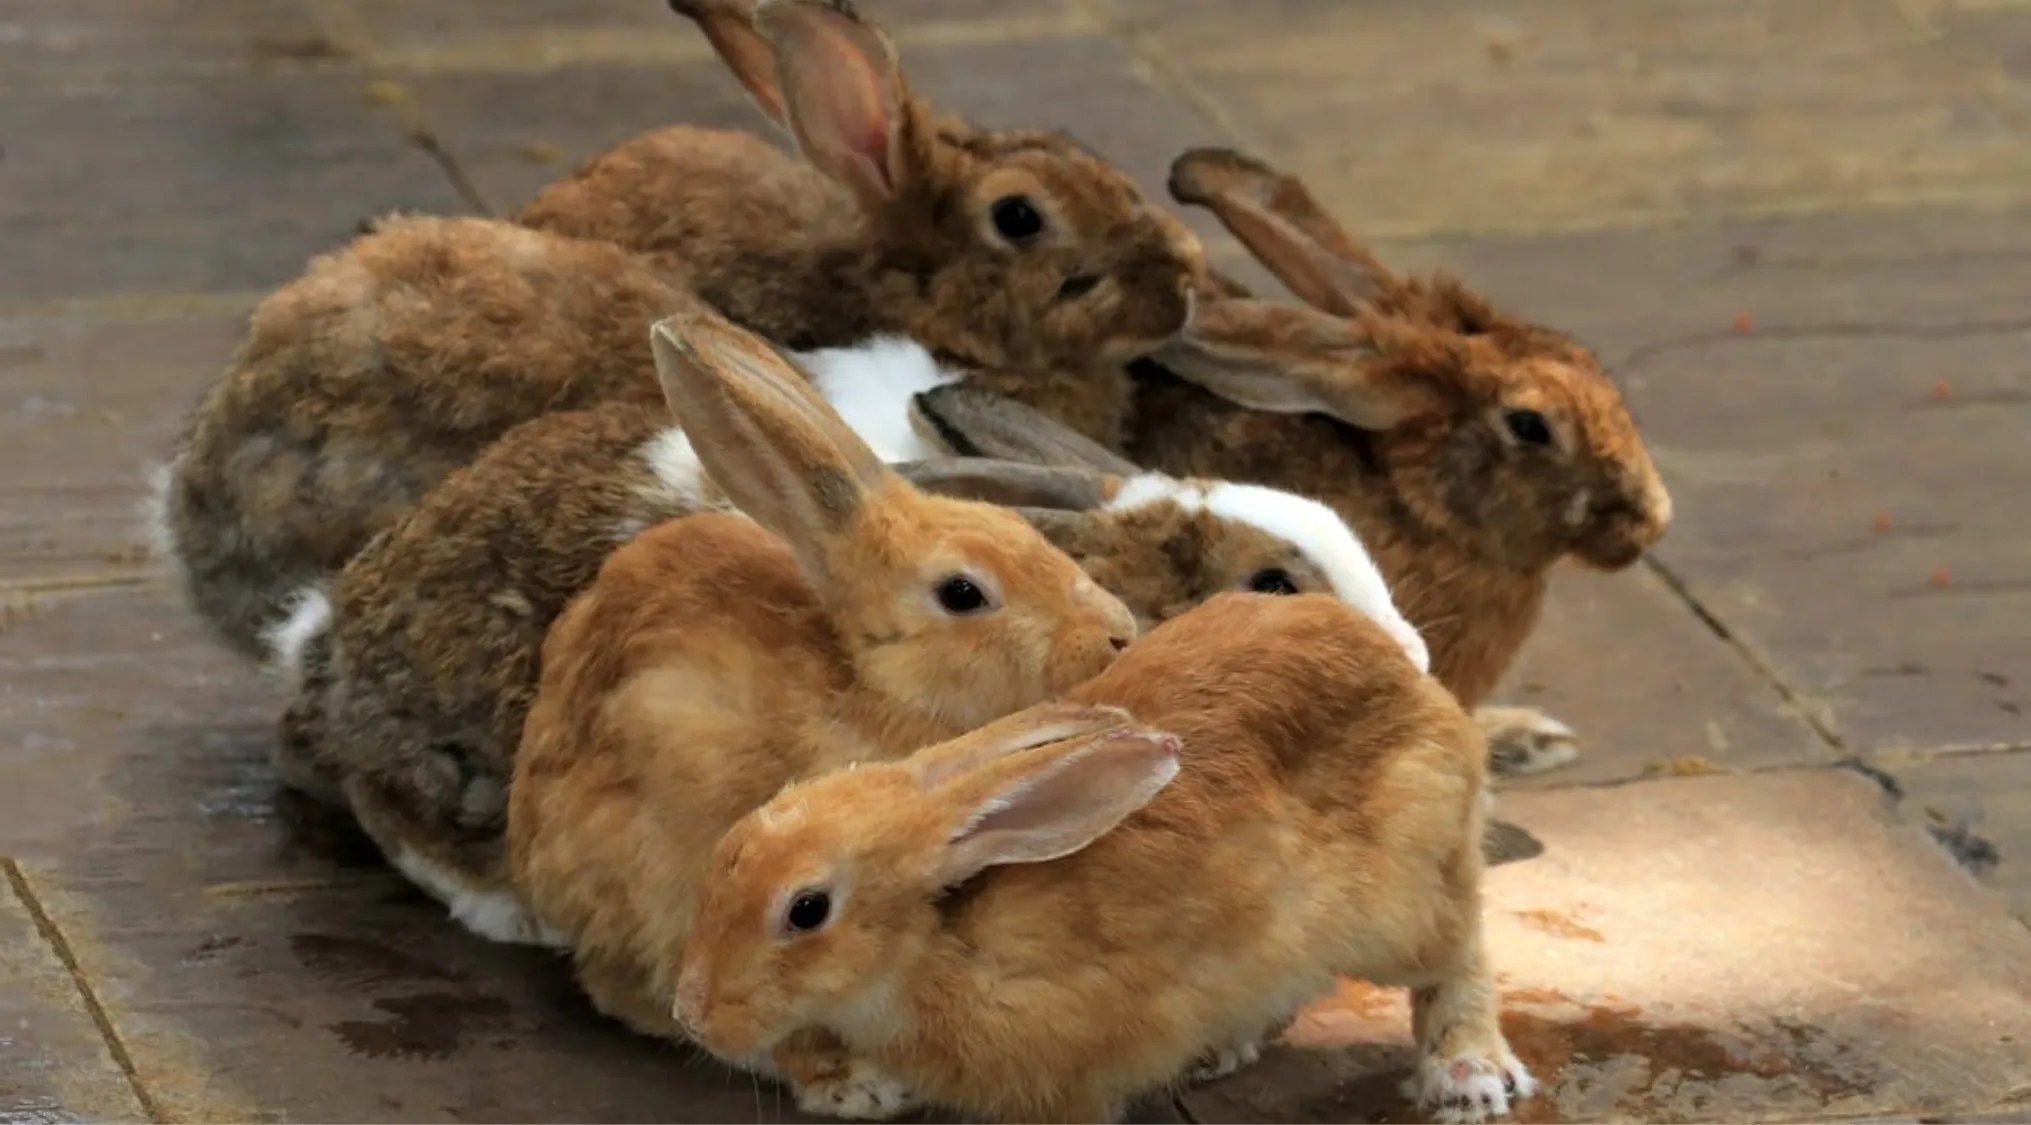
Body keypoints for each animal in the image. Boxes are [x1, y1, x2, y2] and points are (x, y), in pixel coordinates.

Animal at [666, 589, 1533, 1125]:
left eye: (806, 909)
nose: (693, 1015)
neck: (940, 941)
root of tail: (1413, 679)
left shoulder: (1066, 1084)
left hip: (1403, 899)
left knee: (1458, 957)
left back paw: (1469, 1076)